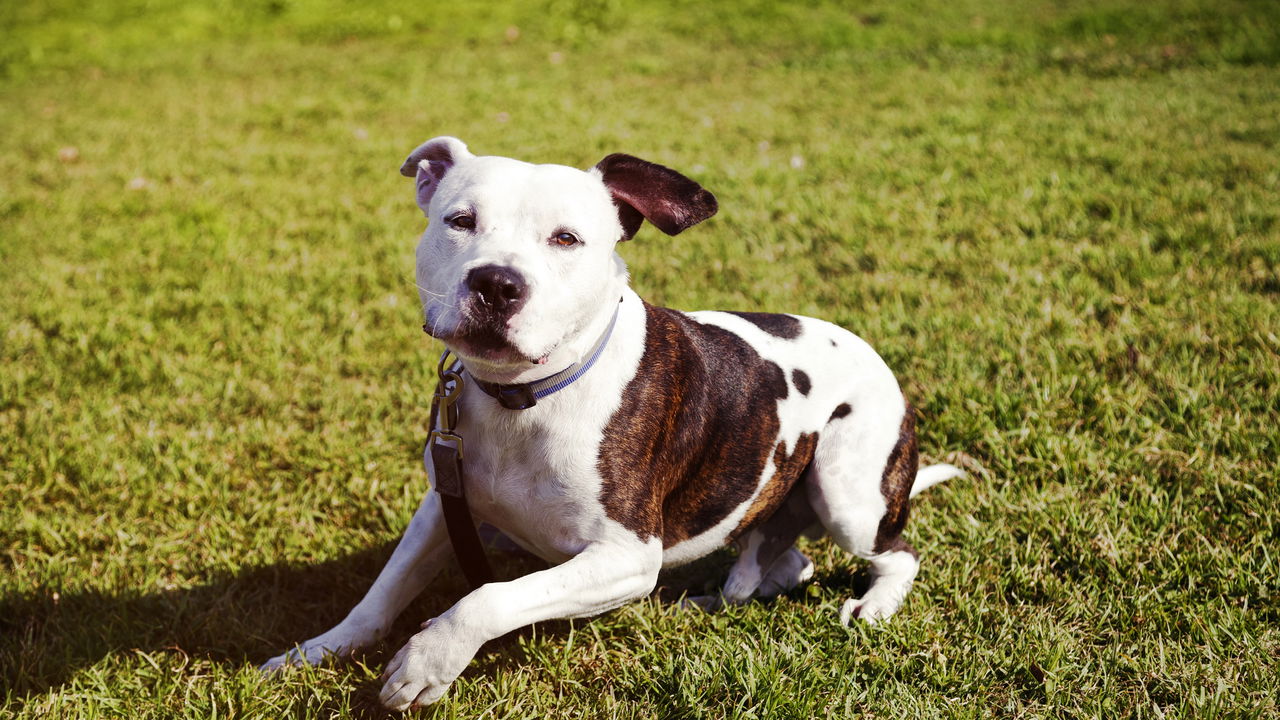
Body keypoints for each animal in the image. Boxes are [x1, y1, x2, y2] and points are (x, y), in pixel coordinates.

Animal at [262, 134, 962, 707]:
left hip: (849, 496)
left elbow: (489, 597)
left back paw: (873, 605)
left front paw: (428, 660)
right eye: (460, 221)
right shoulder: (445, 505)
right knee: (784, 565)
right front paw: (315, 651)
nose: (496, 282)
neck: (528, 397)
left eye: (566, 238)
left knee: (899, 554)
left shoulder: (625, 558)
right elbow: (383, 592)